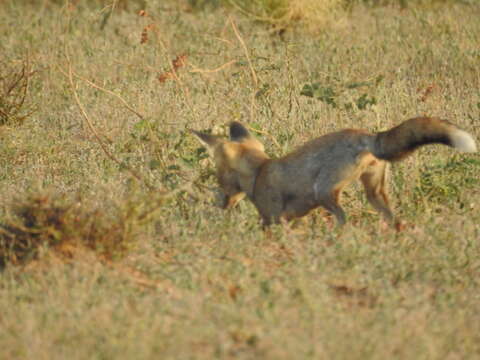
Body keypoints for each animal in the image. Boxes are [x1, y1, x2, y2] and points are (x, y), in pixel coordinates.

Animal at [191, 116, 476, 226]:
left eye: (218, 177)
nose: (221, 204)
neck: (260, 169)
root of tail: (368, 135)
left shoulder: (273, 219)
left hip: (325, 192)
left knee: (344, 218)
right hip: (375, 193)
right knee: (394, 219)